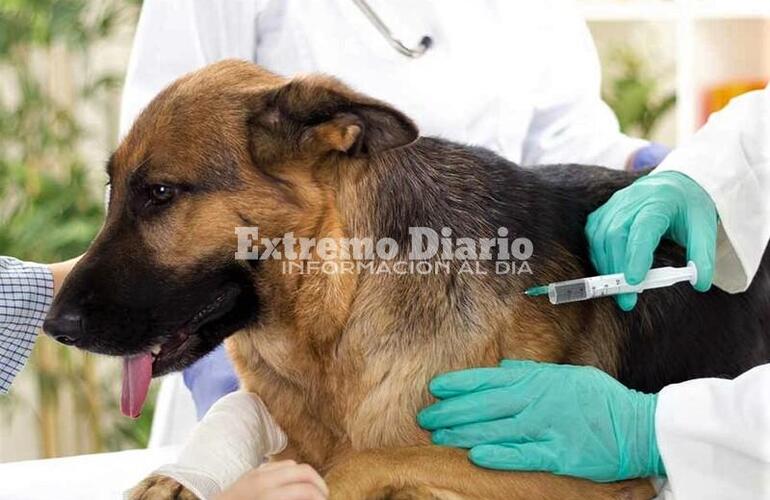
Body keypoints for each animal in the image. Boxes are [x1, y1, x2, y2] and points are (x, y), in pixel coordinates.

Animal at [45, 60, 764, 498]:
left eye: (160, 194)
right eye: (112, 190)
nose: (53, 326)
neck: (342, 310)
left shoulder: (576, 479)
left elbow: (364, 460)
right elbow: (240, 417)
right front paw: (182, 475)